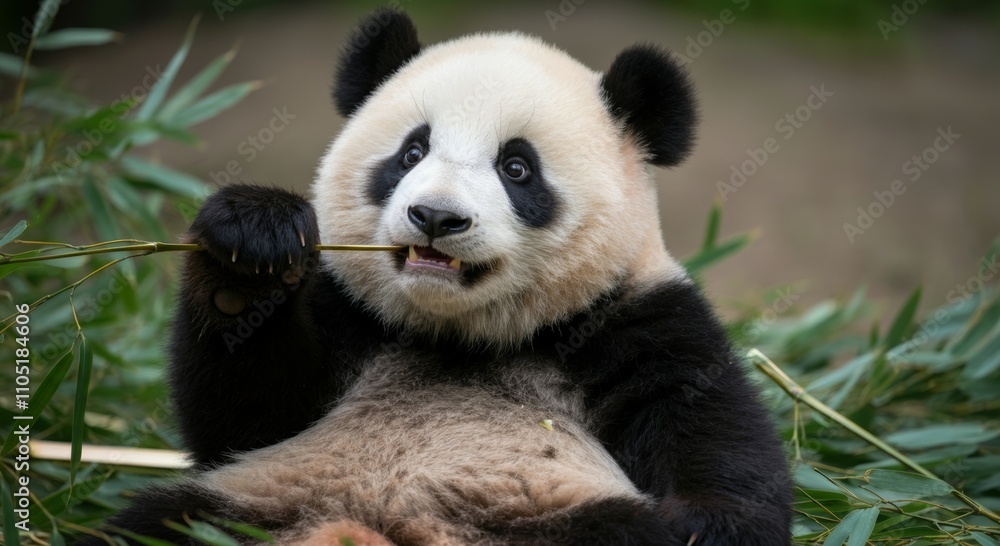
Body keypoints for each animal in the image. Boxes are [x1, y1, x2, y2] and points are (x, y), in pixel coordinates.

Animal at [80, 9, 791, 546]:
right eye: (412, 151)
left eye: (517, 167)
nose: (436, 217)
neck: (459, 334)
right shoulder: (348, 314)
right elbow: (242, 420)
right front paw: (249, 246)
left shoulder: (635, 317)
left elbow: (710, 431)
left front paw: (704, 526)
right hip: (250, 506)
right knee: (156, 523)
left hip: (550, 518)